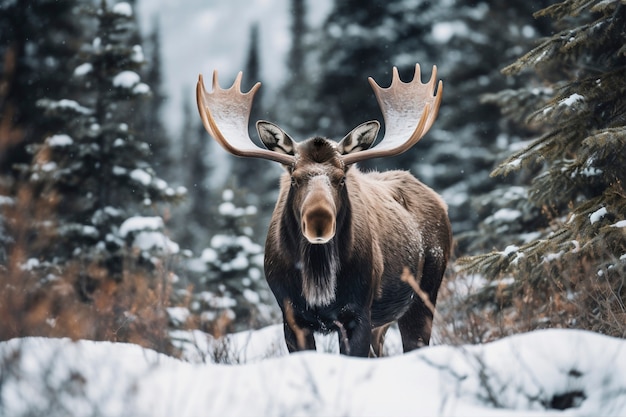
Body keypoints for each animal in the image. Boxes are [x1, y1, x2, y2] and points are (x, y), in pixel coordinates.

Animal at [195, 63, 448, 356]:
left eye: (341, 178)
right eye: (295, 178)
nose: (319, 221)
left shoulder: (358, 314)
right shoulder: (291, 317)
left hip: (423, 298)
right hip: (384, 323)